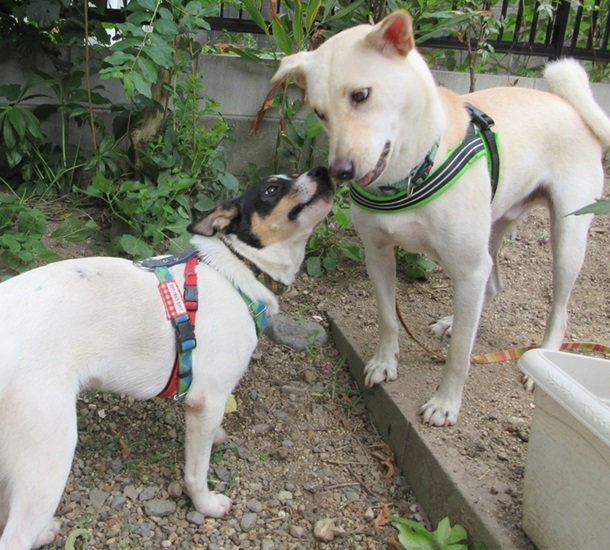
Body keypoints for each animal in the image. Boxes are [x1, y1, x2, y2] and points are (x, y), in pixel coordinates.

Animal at [0, 166, 333, 549]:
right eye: (272, 189)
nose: (324, 170)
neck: (239, 267)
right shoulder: (206, 401)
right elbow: (196, 472)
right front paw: (205, 504)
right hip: (48, 454)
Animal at [273, 10, 610, 426]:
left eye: (361, 95)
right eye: (320, 113)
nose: (340, 172)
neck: (409, 172)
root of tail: (572, 108)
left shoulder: (466, 267)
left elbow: (460, 355)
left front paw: (446, 403)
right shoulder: (378, 254)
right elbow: (387, 317)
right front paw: (385, 364)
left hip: (566, 238)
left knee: (557, 310)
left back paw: (540, 358)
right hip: (491, 232)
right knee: (491, 285)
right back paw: (452, 321)